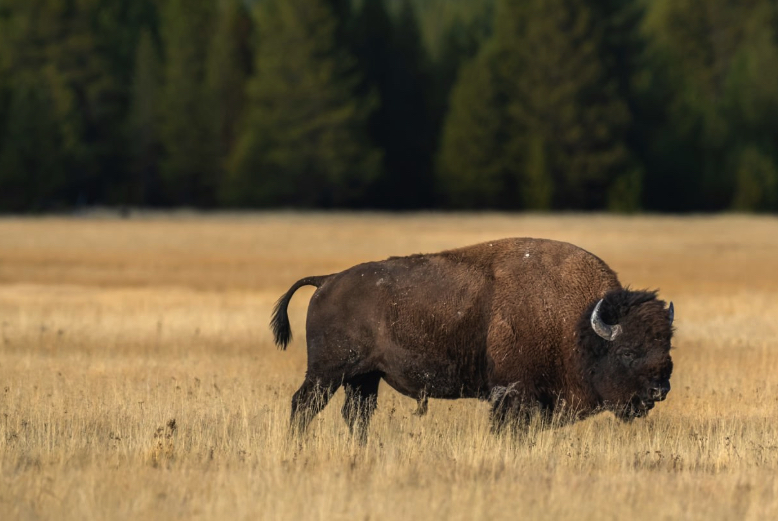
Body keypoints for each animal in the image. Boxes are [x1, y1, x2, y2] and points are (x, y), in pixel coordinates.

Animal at [272, 238, 674, 443]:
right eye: (627, 351)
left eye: (667, 348)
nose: (659, 390)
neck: (577, 325)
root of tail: (327, 279)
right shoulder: (513, 393)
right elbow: (507, 427)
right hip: (327, 373)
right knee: (303, 405)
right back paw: (298, 445)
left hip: (363, 377)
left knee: (356, 414)